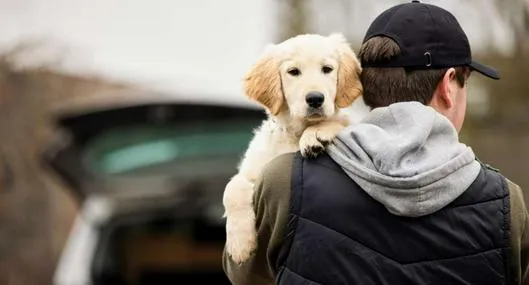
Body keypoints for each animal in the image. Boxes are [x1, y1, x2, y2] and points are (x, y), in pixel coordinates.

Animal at [222, 32, 364, 262]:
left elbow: (340, 122)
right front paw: (240, 245)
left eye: (327, 69)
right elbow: (232, 188)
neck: (295, 133)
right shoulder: (254, 170)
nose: (315, 99)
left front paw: (316, 134)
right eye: (293, 72)